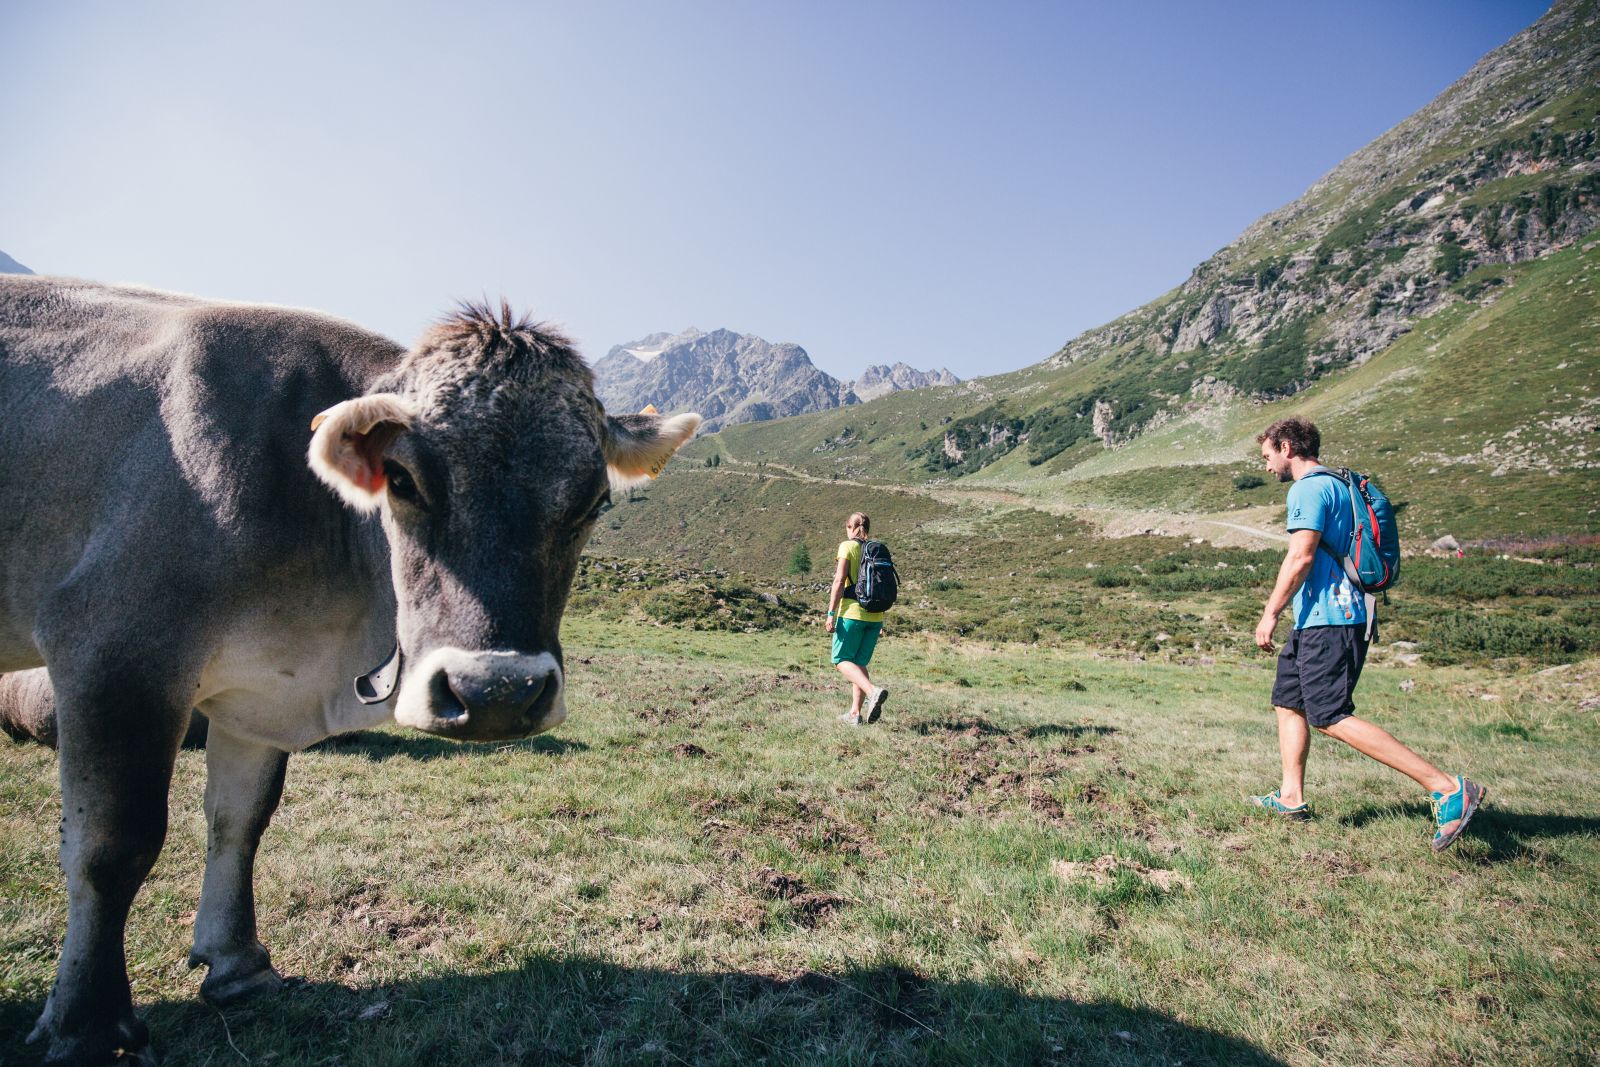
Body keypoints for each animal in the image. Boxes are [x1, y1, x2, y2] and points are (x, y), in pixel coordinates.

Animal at [0, 278, 700, 1067]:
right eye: (400, 478)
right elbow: (113, 846)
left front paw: (237, 963)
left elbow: (240, 819)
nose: (495, 693)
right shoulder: (113, 642)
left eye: (595, 501)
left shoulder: (259, 690)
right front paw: (88, 1024)